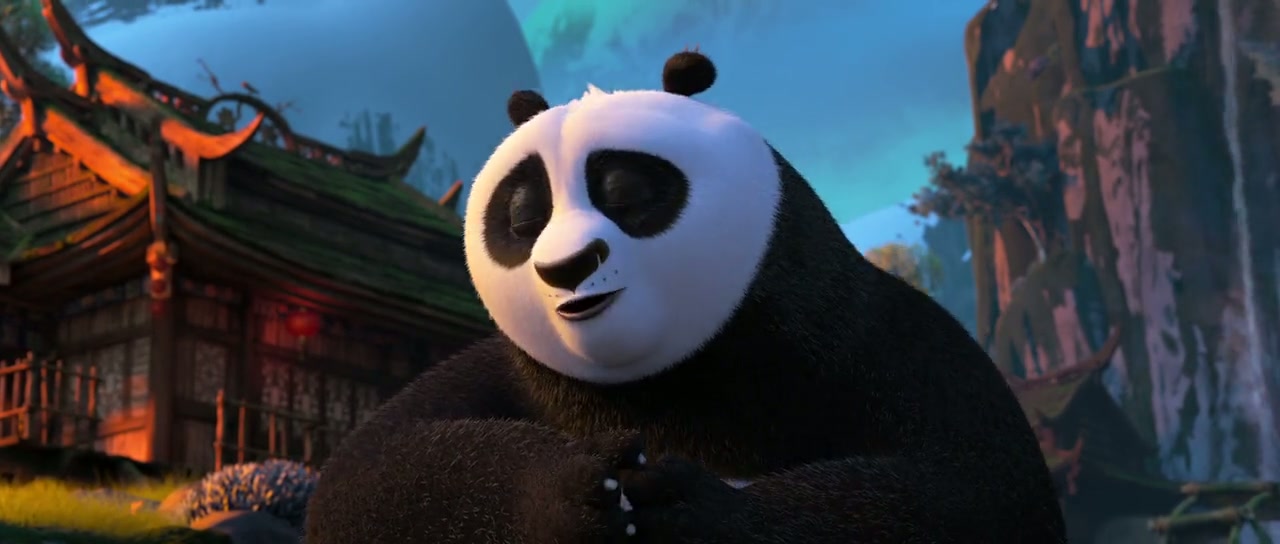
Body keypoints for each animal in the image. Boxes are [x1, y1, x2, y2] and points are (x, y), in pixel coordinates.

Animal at [305, 51, 1066, 544]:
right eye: (523, 219)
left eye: (627, 194)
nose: (568, 268)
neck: (670, 388)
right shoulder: (512, 371)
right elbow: (366, 477)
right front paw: (566, 494)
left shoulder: (883, 340)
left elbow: (977, 488)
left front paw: (698, 509)